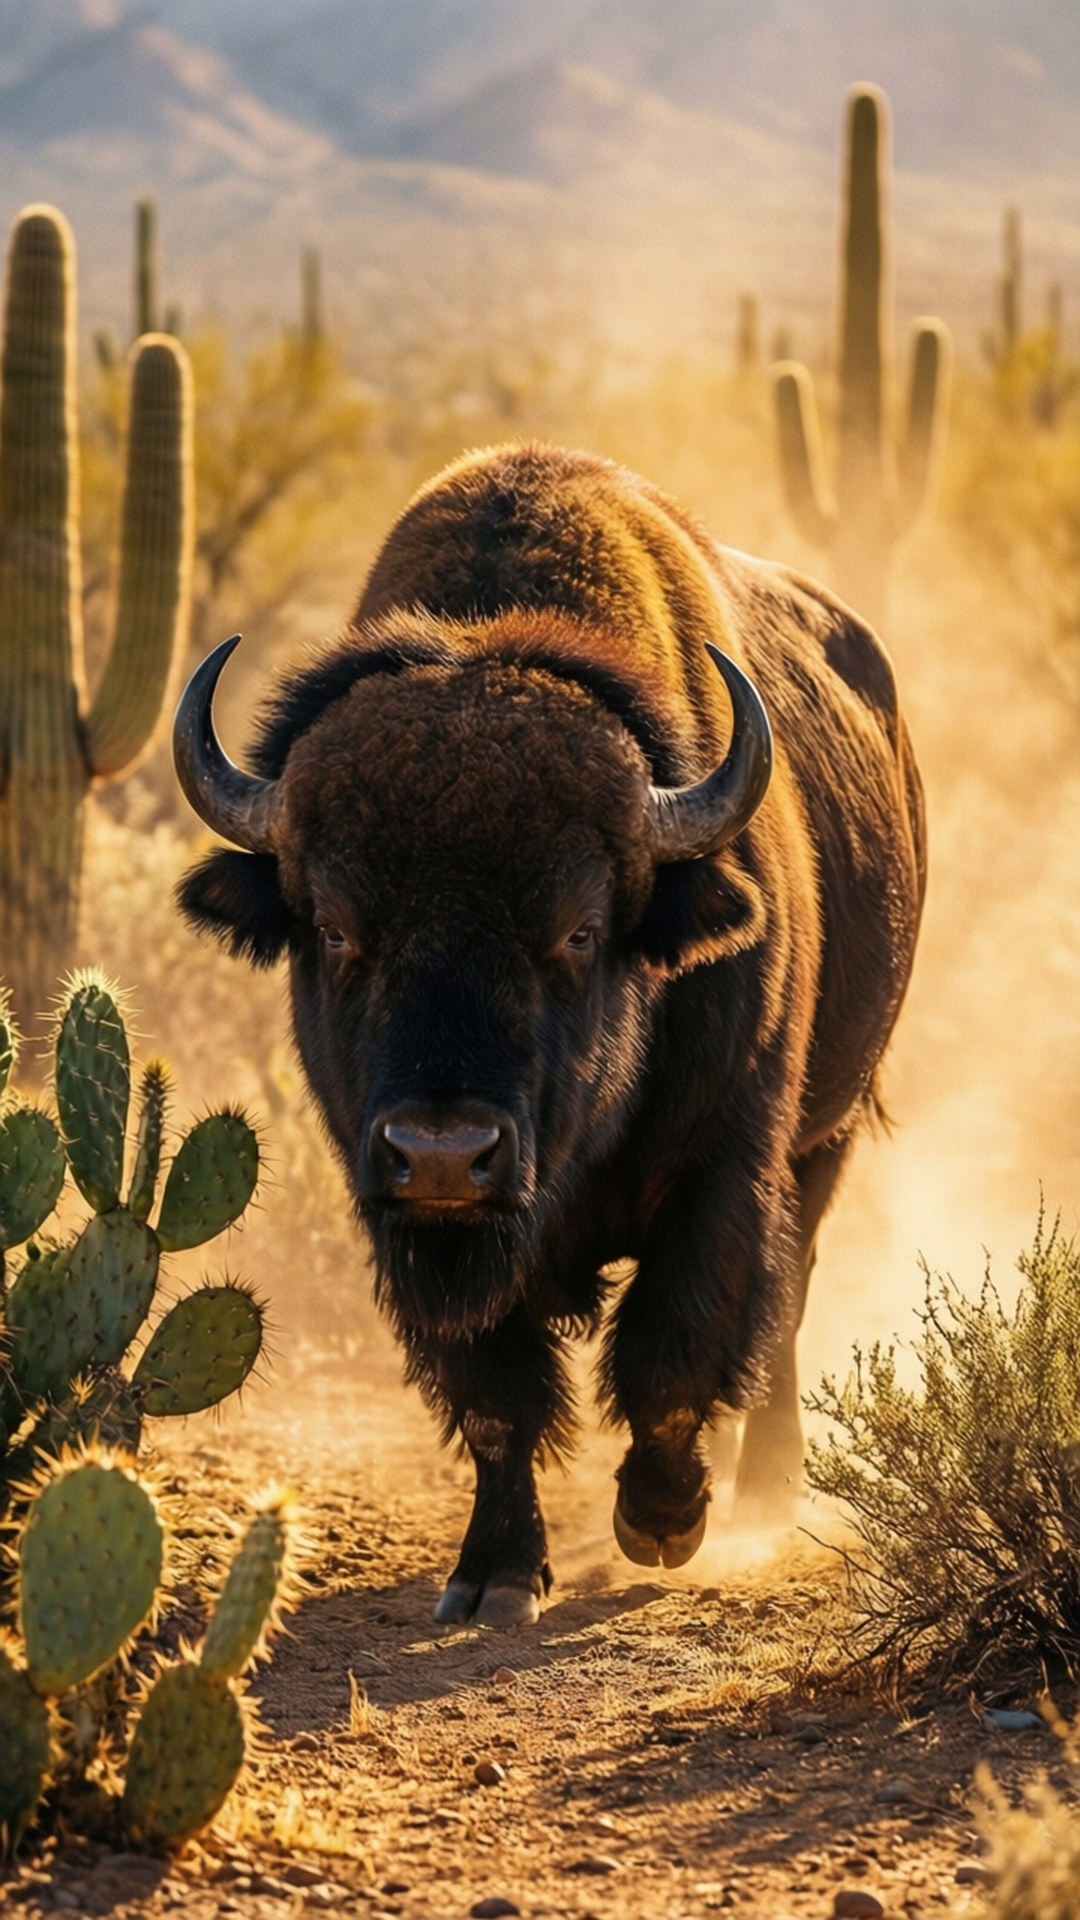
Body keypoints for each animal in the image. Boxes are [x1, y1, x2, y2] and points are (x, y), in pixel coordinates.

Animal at [174, 443, 925, 1626]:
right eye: (336, 928)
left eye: (576, 928)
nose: (444, 1153)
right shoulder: (417, 1228)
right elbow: (496, 1398)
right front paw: (492, 1575)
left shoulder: (726, 1165)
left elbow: (675, 1349)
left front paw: (662, 1523)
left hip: (828, 1136)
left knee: (788, 1303)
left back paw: (762, 1494)